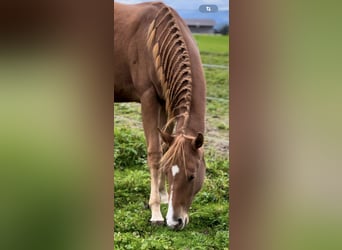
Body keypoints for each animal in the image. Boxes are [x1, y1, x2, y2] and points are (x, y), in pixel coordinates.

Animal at [114, 0, 206, 230]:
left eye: (192, 176)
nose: (174, 221)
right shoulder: (148, 98)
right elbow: (155, 153)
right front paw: (155, 211)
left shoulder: (166, 102)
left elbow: (165, 147)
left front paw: (164, 195)